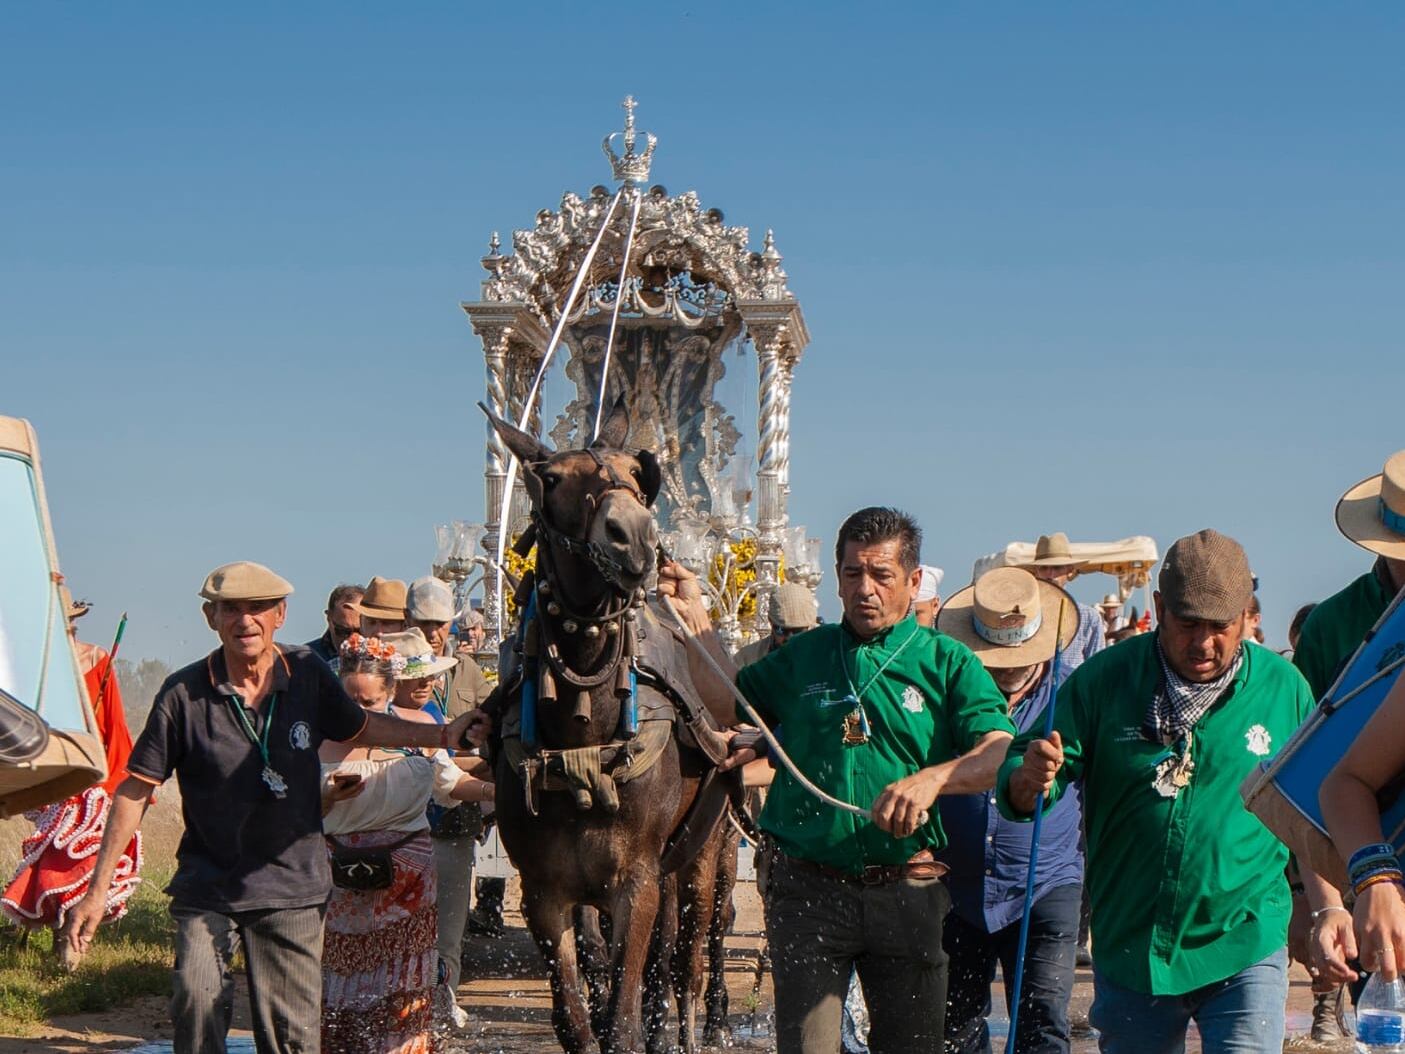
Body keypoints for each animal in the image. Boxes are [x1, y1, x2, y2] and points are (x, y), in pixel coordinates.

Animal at [483, 407, 730, 1054]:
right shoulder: (544, 892)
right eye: (553, 480)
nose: (637, 537)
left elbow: (622, 1016)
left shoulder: (635, 880)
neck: (581, 732)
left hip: (705, 850)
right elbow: (577, 1017)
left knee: (689, 959)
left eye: (637, 477)